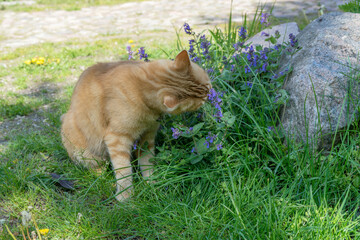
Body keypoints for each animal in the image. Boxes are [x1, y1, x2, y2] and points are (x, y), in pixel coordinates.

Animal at [59, 50, 211, 201]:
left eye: (206, 87)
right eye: (200, 99)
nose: (209, 94)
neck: (141, 87)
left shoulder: (147, 138)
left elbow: (147, 163)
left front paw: (152, 184)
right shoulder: (117, 138)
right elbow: (123, 170)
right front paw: (125, 196)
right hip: (83, 148)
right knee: (94, 166)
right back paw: (101, 175)